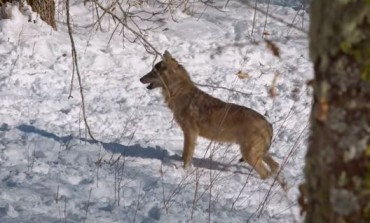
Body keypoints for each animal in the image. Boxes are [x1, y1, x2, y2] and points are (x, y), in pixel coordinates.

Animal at [140, 51, 278, 179]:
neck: (179, 93)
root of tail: (268, 123)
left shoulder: (191, 133)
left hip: (249, 154)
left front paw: (184, 171)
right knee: (276, 166)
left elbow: (187, 156)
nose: (140, 79)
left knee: (265, 173)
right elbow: (184, 154)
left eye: (153, 71)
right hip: (259, 153)